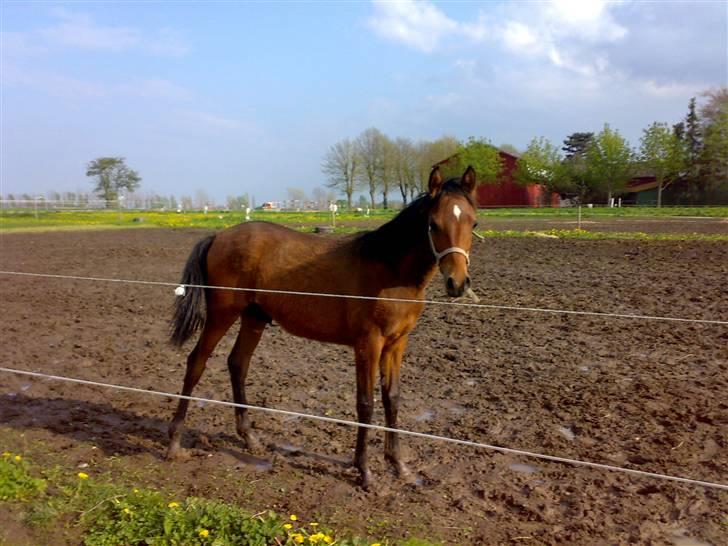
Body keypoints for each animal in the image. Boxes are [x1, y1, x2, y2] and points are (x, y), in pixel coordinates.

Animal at [168, 164, 480, 486]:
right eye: (433, 224)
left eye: (474, 223)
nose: (457, 283)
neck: (390, 270)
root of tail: (218, 236)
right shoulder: (368, 344)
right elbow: (365, 403)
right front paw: (365, 471)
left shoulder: (396, 344)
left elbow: (391, 398)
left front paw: (399, 465)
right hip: (222, 315)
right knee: (196, 363)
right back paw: (175, 442)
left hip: (253, 318)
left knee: (238, 364)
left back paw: (250, 437)